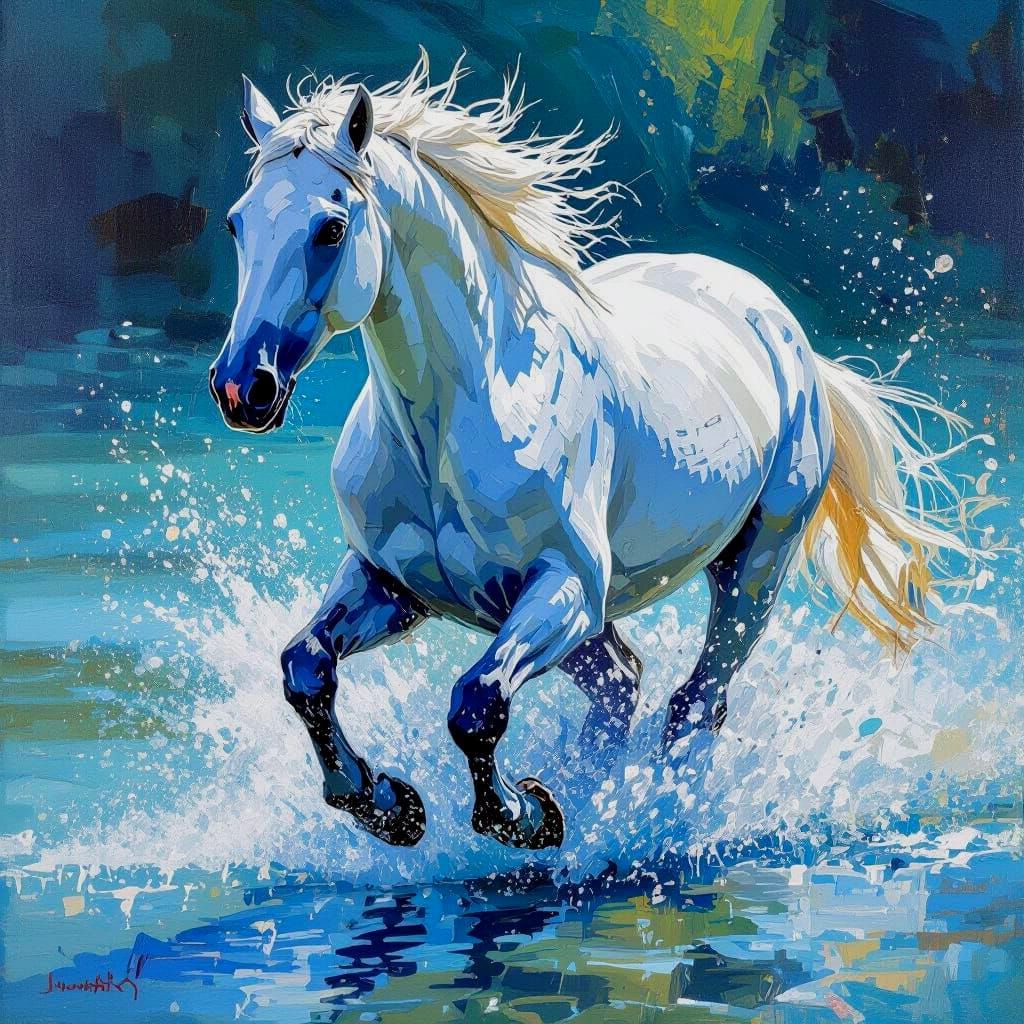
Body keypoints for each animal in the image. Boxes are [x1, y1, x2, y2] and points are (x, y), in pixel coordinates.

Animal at [209, 52, 986, 850]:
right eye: (237, 223)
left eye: (331, 228)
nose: (243, 388)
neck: (458, 423)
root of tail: (781, 326)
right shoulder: (391, 585)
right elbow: (305, 669)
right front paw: (386, 803)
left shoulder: (564, 590)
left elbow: (475, 703)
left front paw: (525, 815)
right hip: (591, 618)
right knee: (623, 686)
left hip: (752, 566)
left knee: (695, 702)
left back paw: (655, 821)